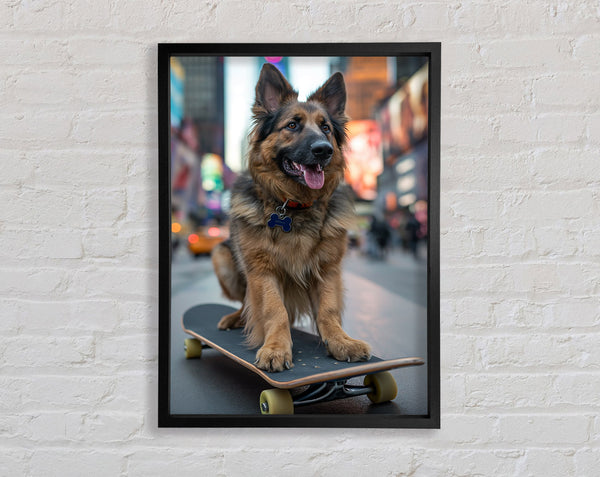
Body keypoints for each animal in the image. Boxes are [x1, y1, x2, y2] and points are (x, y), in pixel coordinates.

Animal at [211, 61, 370, 370]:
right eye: (292, 125)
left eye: (325, 128)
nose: (323, 150)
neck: (293, 205)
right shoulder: (262, 270)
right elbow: (275, 310)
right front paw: (275, 348)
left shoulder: (327, 269)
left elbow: (328, 310)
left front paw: (340, 341)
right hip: (222, 256)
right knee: (246, 302)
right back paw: (236, 318)